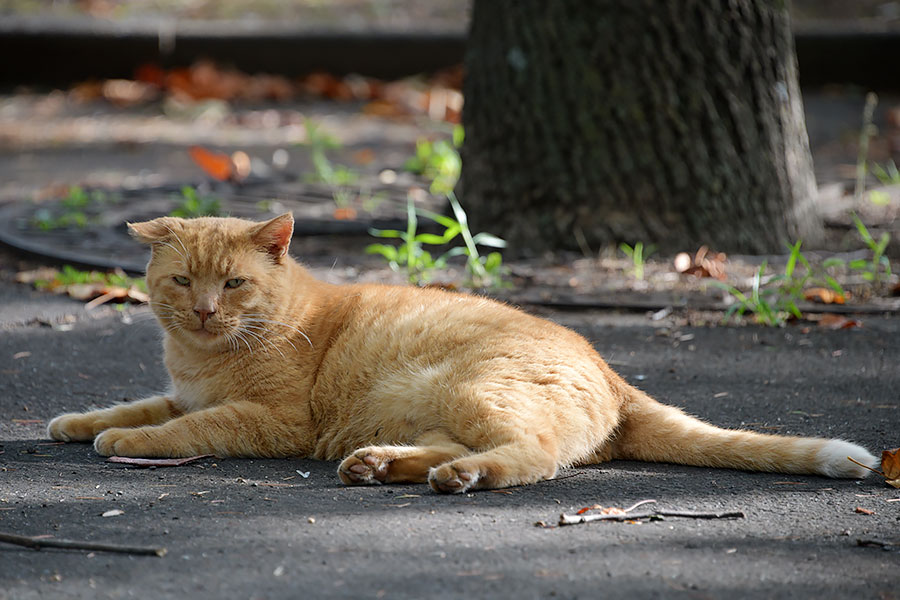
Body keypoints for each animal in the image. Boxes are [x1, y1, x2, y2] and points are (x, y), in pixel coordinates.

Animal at [45, 213, 876, 490]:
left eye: (235, 283)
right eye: (183, 281)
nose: (205, 310)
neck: (204, 357)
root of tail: (613, 372)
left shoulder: (272, 420)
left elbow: (187, 426)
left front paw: (126, 442)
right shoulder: (179, 388)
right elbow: (137, 405)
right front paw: (77, 422)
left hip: (479, 393)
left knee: (534, 457)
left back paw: (463, 477)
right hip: (438, 407)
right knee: (458, 446)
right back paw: (382, 465)